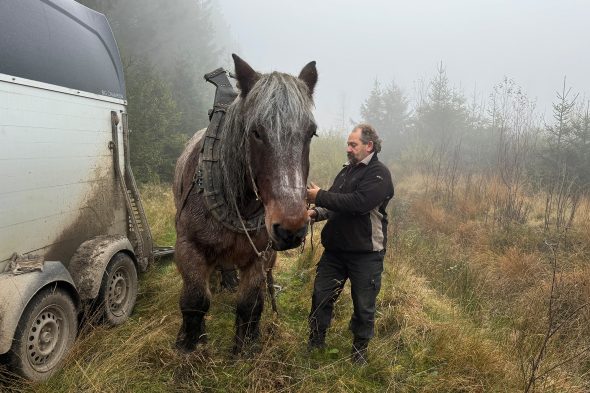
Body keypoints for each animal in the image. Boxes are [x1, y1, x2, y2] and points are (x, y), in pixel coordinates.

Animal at [173, 52, 320, 352]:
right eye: (256, 132)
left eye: (310, 133)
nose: (291, 229)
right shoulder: (187, 248)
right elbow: (195, 301)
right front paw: (190, 345)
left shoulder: (261, 256)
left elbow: (250, 304)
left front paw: (246, 347)